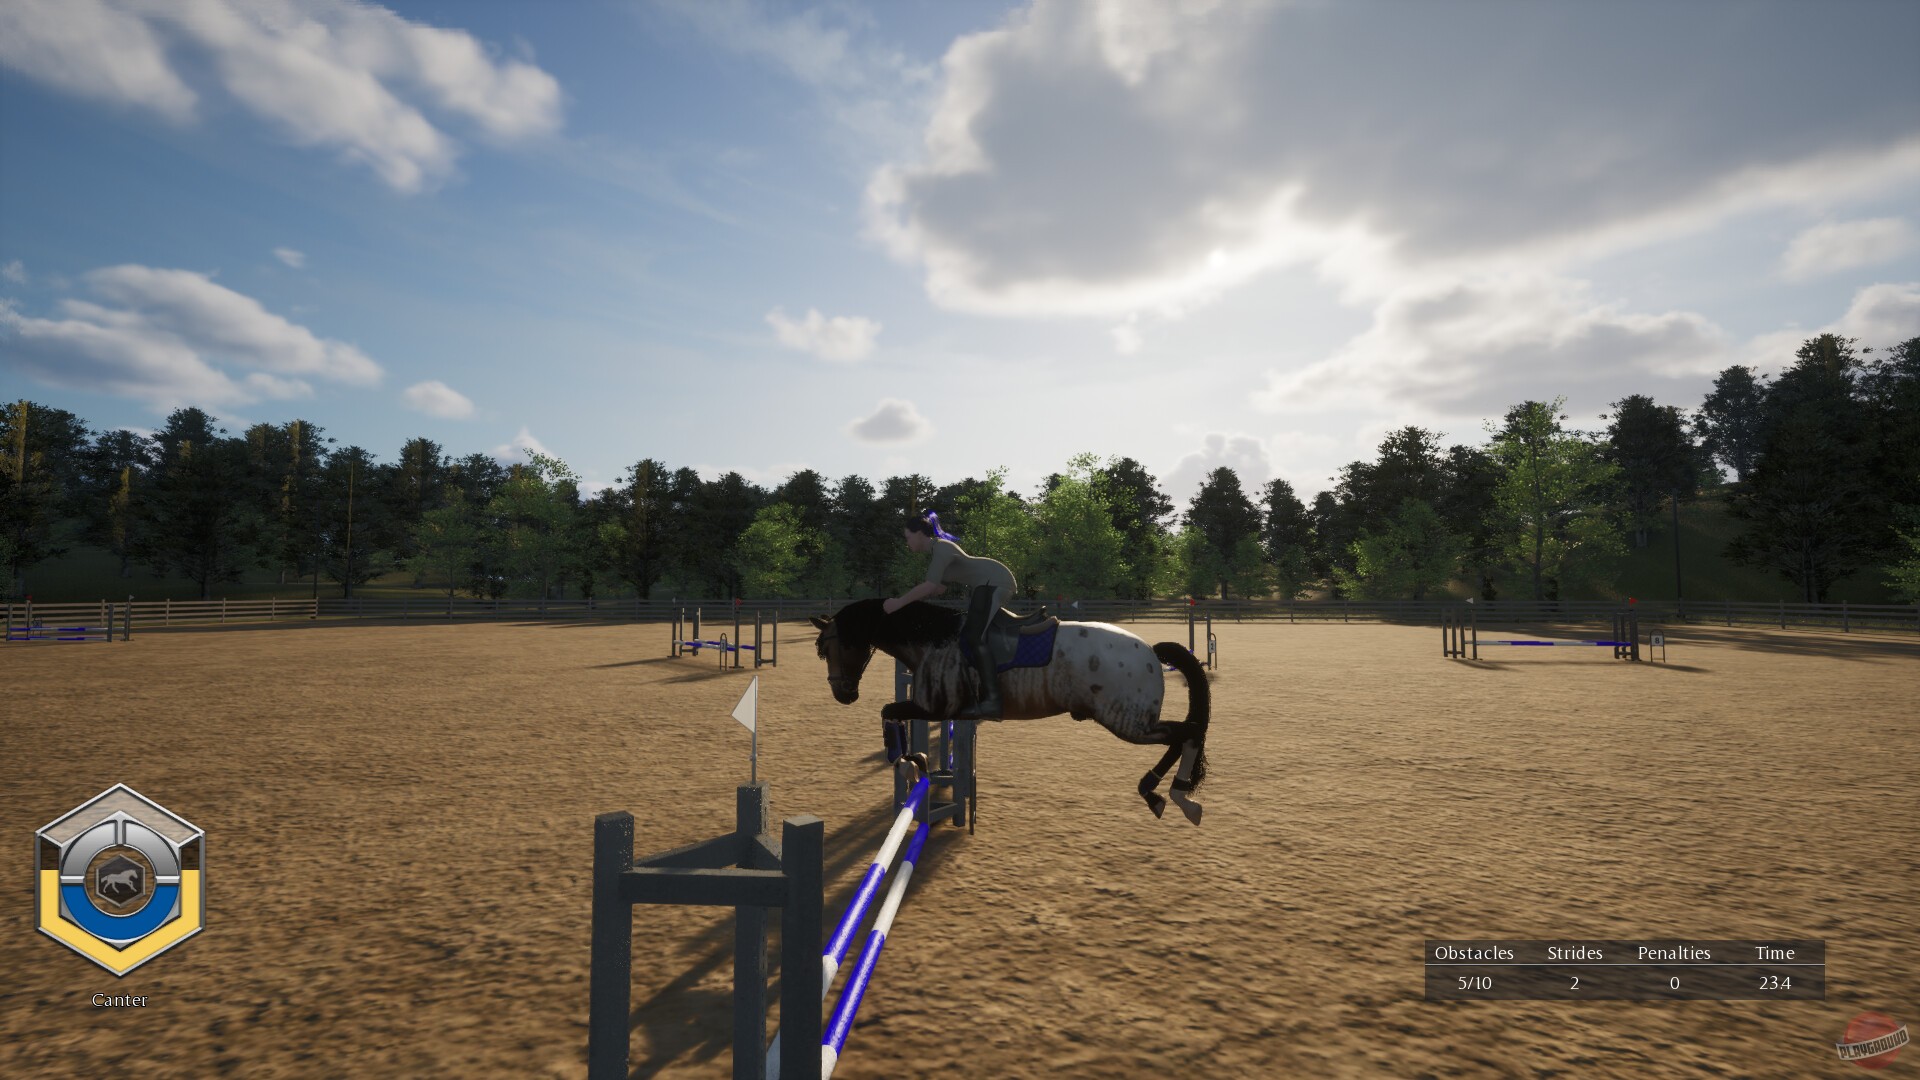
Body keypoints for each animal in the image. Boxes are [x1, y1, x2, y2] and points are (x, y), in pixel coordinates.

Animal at [810, 598, 1212, 825]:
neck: (934, 639)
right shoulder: (939, 709)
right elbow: (892, 717)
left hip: (1128, 722)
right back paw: (1163, 794)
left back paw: (1175, 797)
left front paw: (910, 765)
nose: (843, 694)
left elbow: (888, 713)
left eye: (832, 646)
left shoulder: (935, 706)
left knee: (1187, 734)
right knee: (1184, 735)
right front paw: (916, 762)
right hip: (1132, 722)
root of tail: (1151, 651)